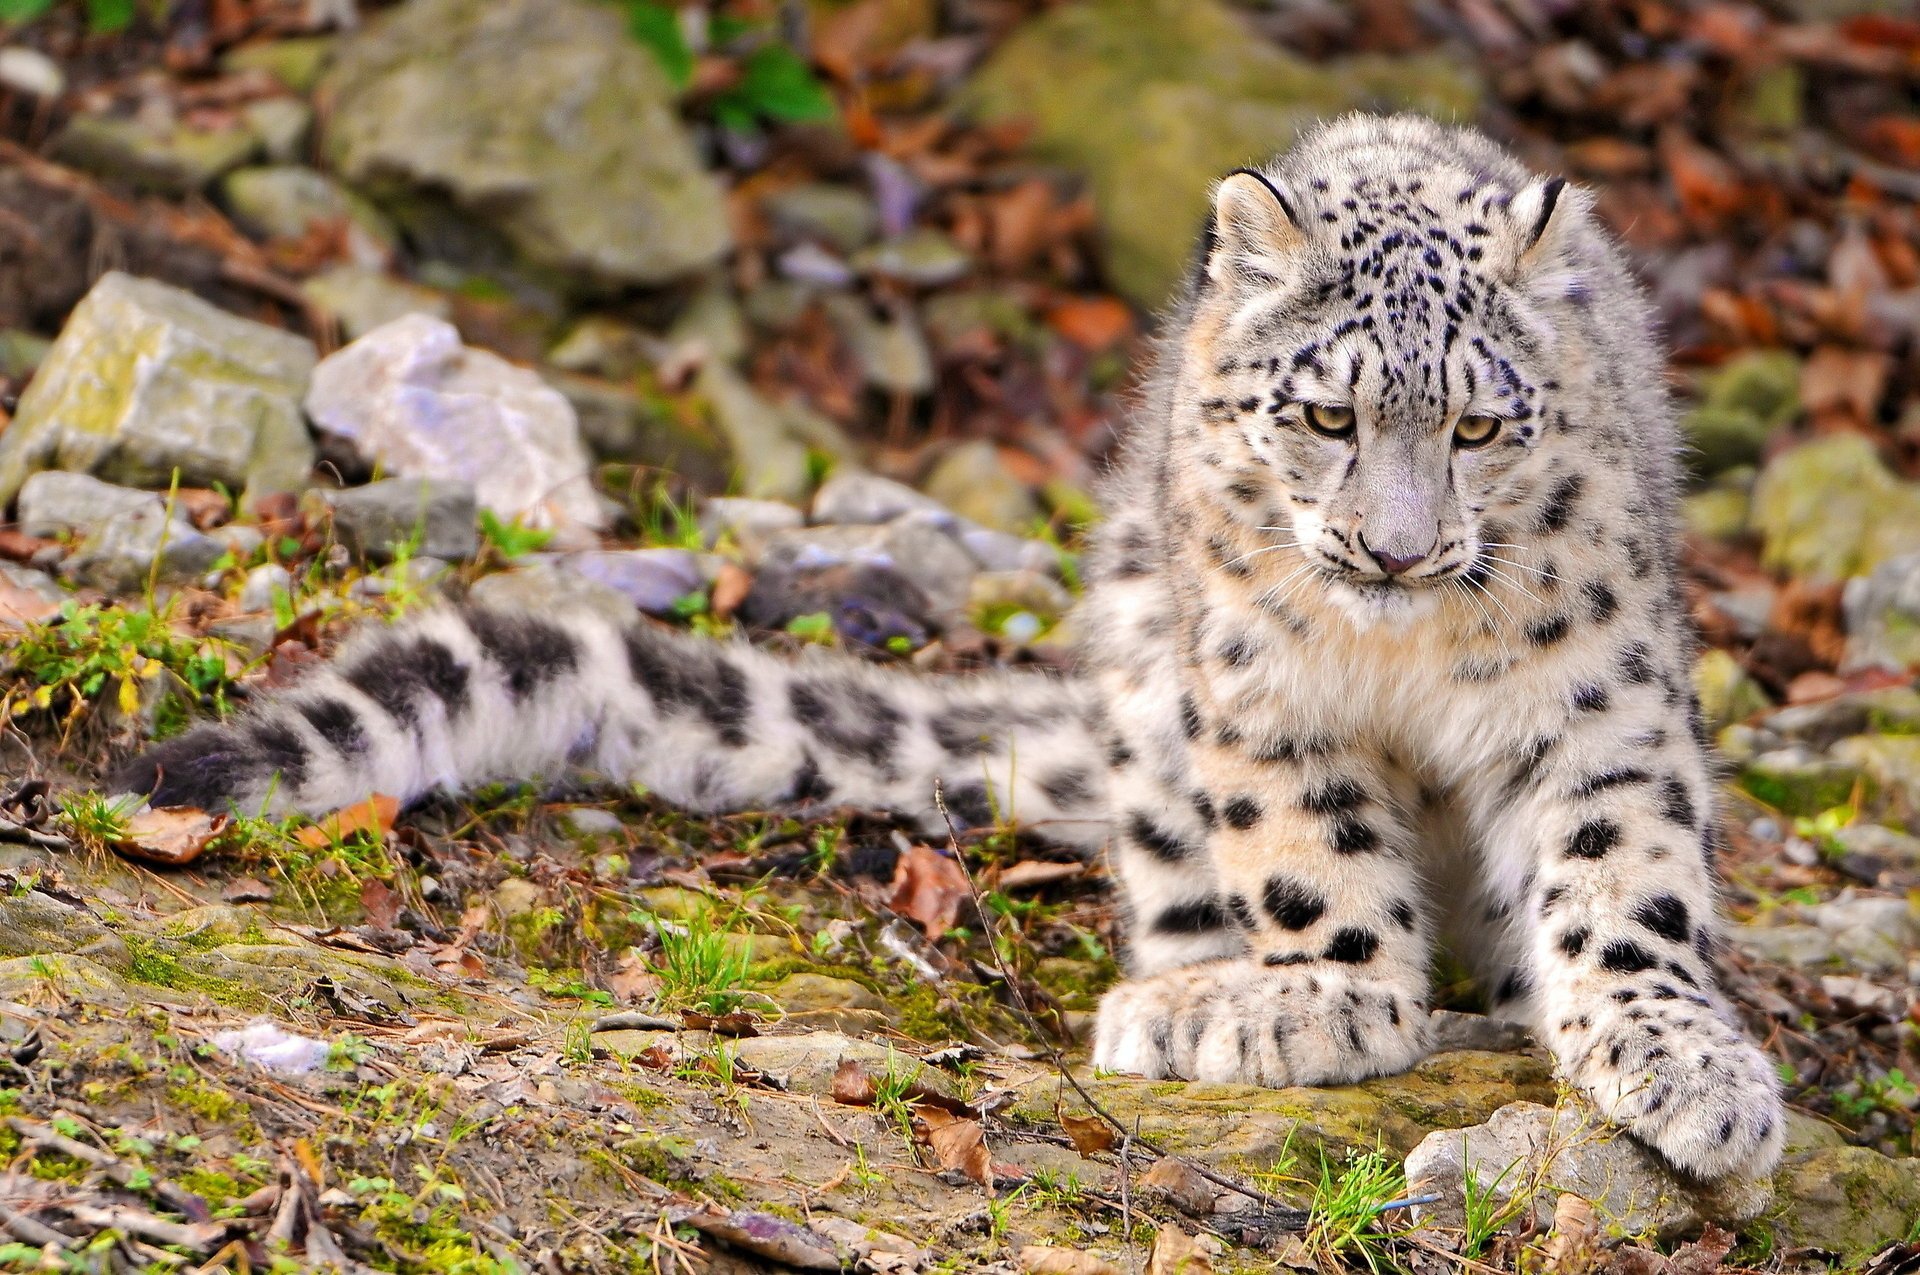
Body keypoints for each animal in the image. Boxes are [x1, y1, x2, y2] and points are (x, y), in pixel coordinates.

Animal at [118, 114, 1784, 1182]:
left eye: (1480, 426)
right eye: (1327, 413)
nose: (1396, 548)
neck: (1400, 659)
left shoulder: (1595, 694)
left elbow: (1623, 872)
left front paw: (1685, 1065)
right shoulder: (1261, 691)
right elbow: (1312, 851)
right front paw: (1319, 995)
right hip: (1146, 673)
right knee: (1173, 865)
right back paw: (1186, 992)